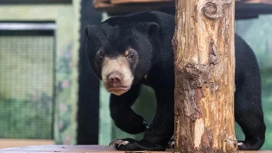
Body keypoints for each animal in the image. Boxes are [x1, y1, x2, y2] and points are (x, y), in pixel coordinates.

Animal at [85, 11, 266, 151]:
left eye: (131, 54)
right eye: (99, 56)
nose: (114, 78)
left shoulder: (171, 64)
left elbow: (169, 104)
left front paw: (131, 143)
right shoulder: (134, 78)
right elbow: (123, 100)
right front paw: (138, 123)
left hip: (244, 74)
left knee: (246, 108)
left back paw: (246, 143)